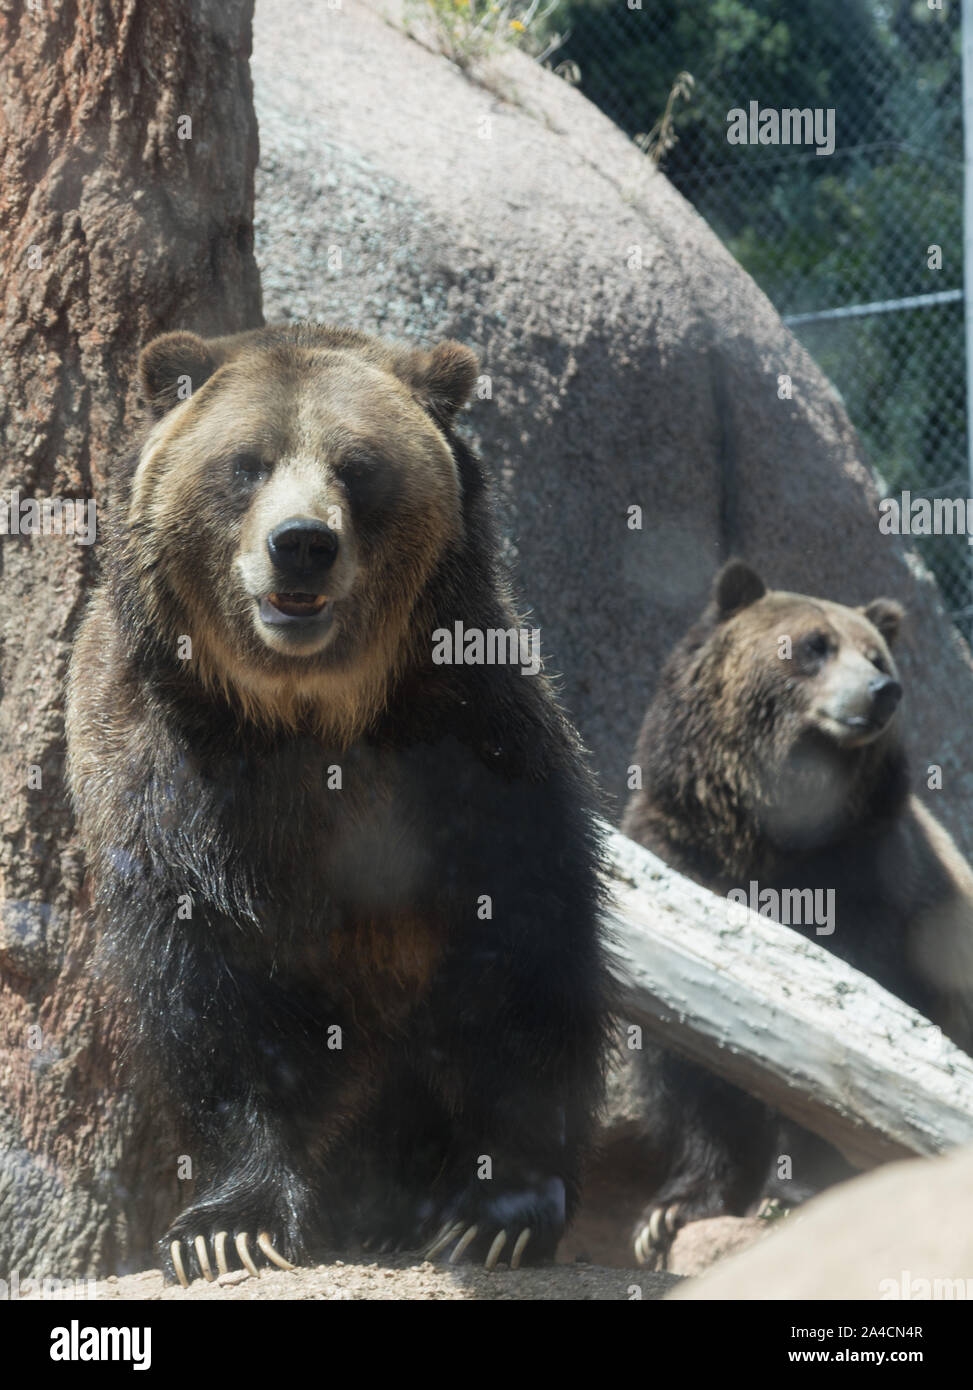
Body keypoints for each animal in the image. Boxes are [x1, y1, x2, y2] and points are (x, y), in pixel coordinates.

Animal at [68, 322, 611, 1278]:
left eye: (357, 467)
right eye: (245, 463)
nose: (301, 543)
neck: (305, 715)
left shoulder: (472, 748)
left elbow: (522, 956)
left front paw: (500, 1208)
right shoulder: (169, 787)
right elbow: (214, 1002)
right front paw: (225, 1227)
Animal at [619, 561, 973, 1273]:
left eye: (875, 653)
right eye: (814, 645)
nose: (883, 691)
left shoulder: (865, 881)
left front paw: (795, 1183)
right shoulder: (680, 854)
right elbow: (689, 1062)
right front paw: (669, 1212)